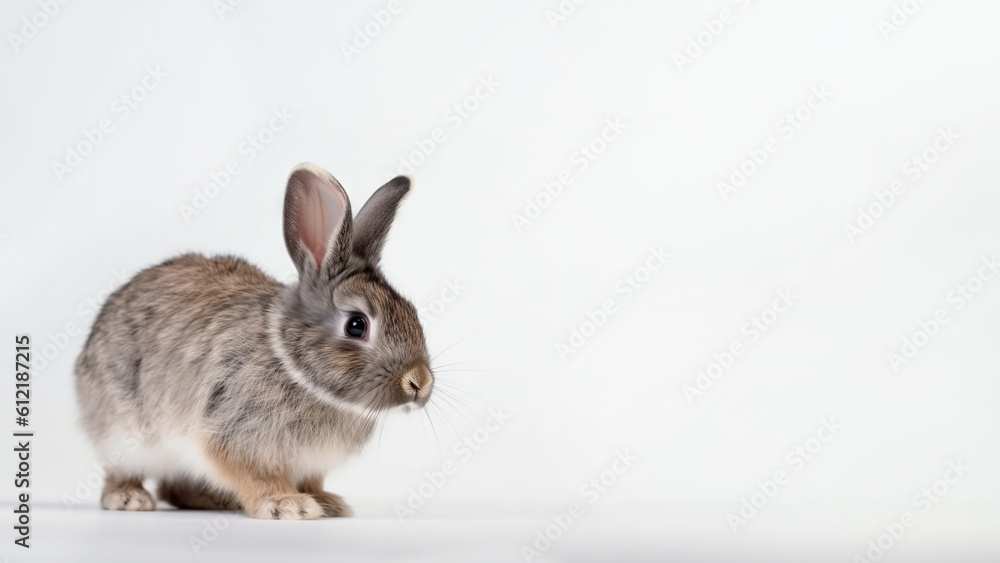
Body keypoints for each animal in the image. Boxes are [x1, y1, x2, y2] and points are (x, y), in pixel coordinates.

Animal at [74, 163, 434, 519]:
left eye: (412, 311)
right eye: (357, 325)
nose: (420, 382)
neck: (295, 368)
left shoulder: (311, 463)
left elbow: (312, 482)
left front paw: (328, 503)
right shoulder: (234, 434)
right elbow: (258, 477)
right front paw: (288, 505)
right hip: (124, 434)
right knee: (127, 473)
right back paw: (129, 498)